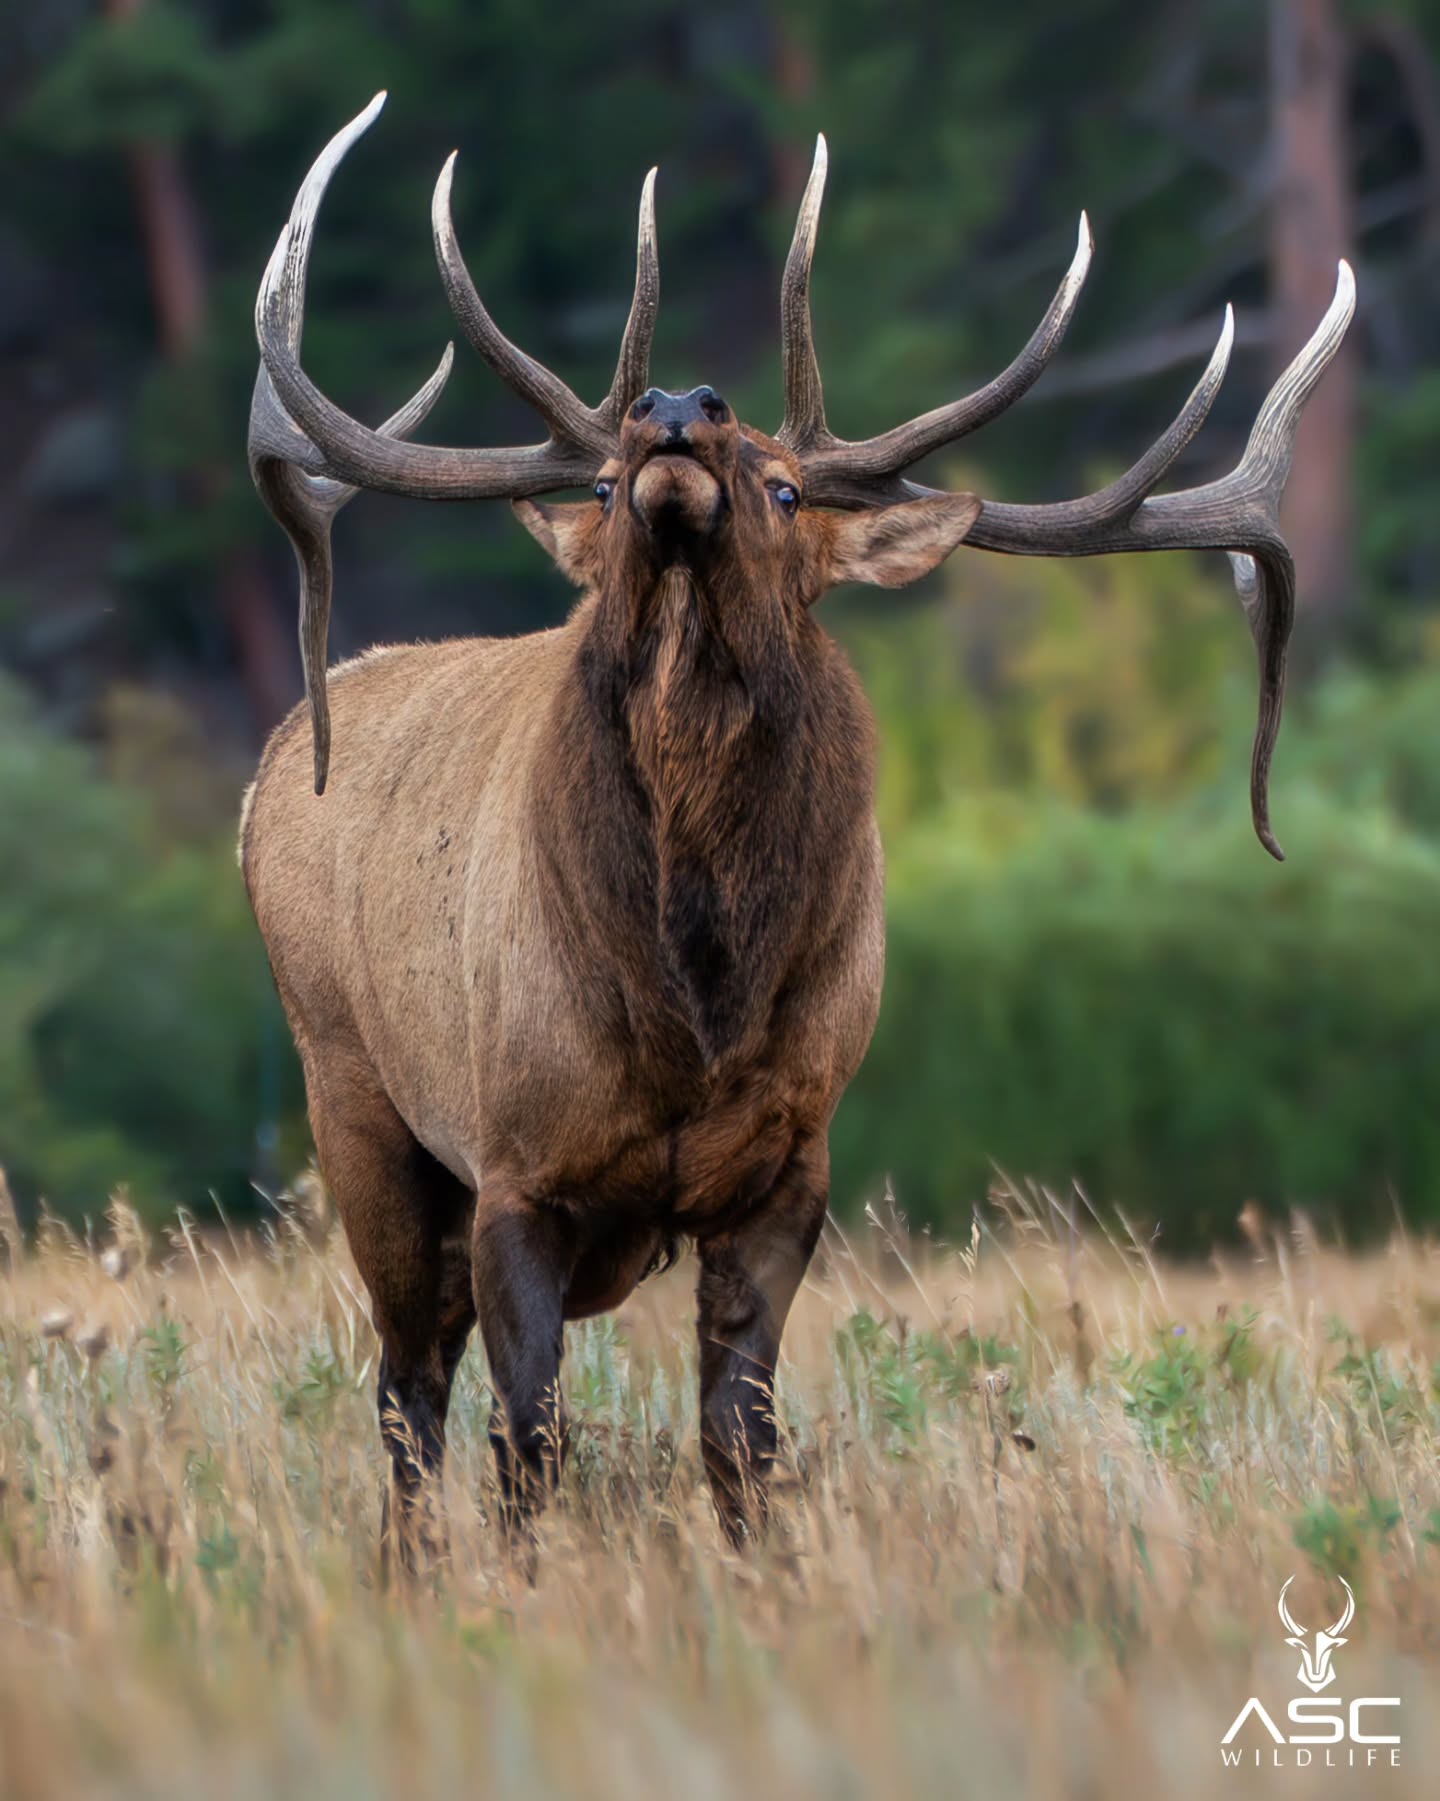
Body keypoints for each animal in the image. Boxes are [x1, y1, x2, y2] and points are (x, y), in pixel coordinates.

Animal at [241, 94, 1354, 1561]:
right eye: (605, 486)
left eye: (782, 488)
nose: (674, 407)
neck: (697, 1000)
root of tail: (266, 772)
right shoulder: (518, 1160)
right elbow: (529, 1439)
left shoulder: (790, 1169)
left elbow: (741, 1437)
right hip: (352, 1095)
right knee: (408, 1389)